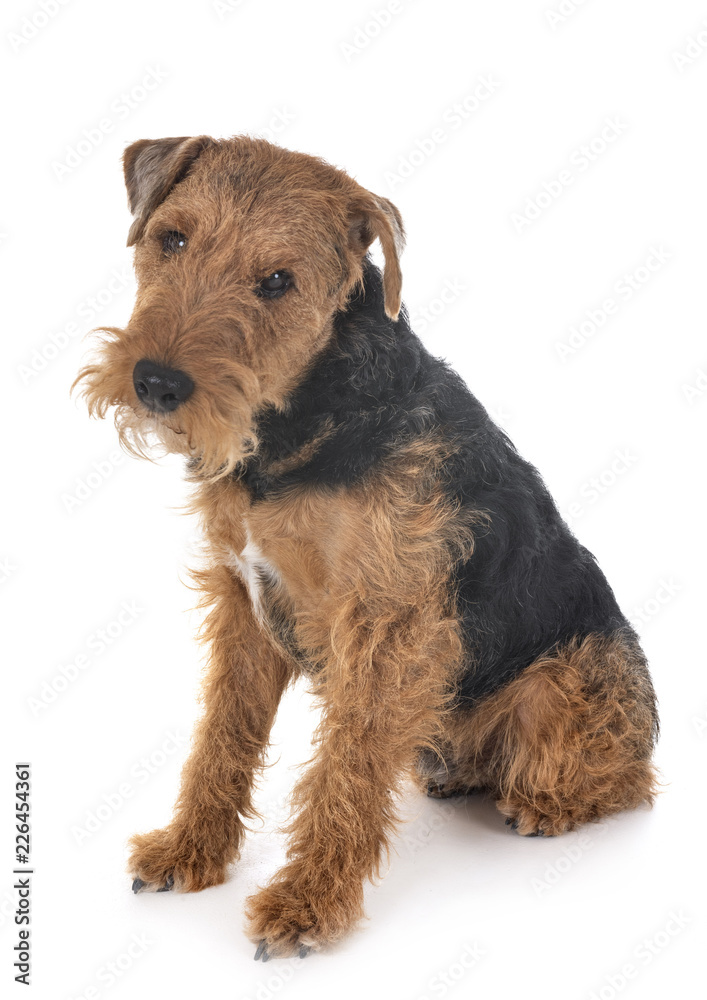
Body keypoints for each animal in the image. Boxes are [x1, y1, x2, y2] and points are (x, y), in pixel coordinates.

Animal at [72, 135, 660, 960]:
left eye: (277, 281)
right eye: (173, 238)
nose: (156, 383)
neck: (295, 426)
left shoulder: (385, 628)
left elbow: (344, 768)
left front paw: (305, 904)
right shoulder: (244, 605)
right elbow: (221, 738)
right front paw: (188, 851)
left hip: (560, 686)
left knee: (624, 779)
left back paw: (545, 807)